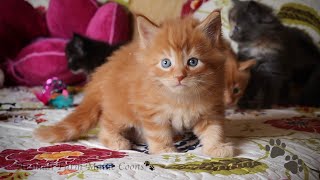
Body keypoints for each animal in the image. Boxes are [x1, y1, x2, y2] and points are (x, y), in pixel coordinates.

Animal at [34, 11, 235, 158]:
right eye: (166, 63)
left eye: (193, 62)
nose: (179, 77)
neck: (180, 97)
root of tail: (102, 73)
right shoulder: (150, 110)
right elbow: (158, 132)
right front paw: (165, 151)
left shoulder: (210, 109)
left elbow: (214, 129)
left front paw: (217, 147)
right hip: (120, 109)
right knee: (106, 124)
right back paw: (117, 141)